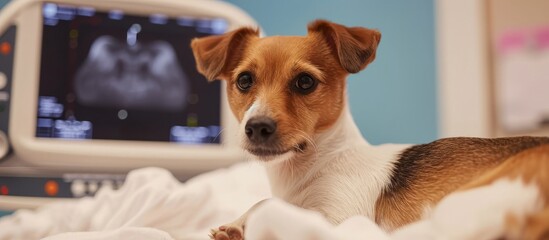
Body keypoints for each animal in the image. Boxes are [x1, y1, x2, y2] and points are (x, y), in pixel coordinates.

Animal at [192, 19, 548, 239]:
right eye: (244, 80)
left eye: (305, 82)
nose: (257, 127)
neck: (315, 165)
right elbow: (264, 201)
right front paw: (236, 224)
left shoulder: (339, 217)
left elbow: (268, 206)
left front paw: (243, 225)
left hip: (463, 204)